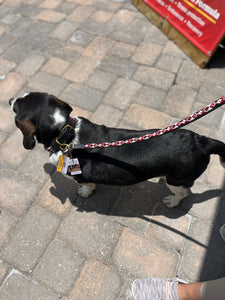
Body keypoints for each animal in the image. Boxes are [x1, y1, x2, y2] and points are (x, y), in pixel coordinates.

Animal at [8, 92, 225, 207]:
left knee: (184, 192)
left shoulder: (81, 176)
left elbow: (88, 185)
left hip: (176, 180)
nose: (9, 99)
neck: (64, 134)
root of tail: (203, 141)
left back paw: (172, 202)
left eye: (16, 107)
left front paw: (85, 192)